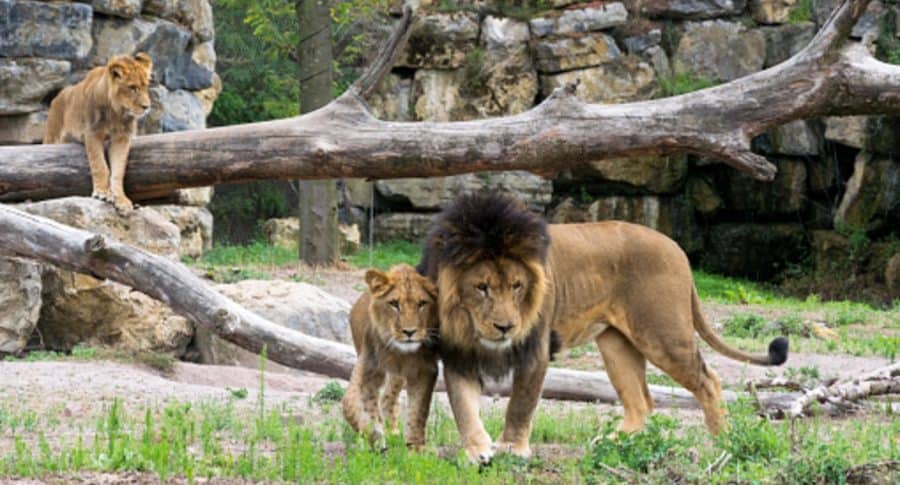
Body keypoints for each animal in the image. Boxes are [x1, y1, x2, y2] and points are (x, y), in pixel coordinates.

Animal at [44, 52, 154, 212]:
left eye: (146, 87)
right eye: (132, 88)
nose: (147, 107)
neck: (117, 113)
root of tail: (56, 98)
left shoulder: (122, 138)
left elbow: (118, 171)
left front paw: (121, 199)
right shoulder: (92, 133)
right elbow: (100, 165)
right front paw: (102, 193)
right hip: (52, 136)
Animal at [342, 264, 442, 450]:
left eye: (422, 304)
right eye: (394, 304)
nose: (409, 332)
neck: (398, 352)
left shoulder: (424, 370)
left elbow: (418, 410)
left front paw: (416, 448)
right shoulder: (368, 369)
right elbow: (355, 405)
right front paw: (374, 437)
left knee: (388, 397)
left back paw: (393, 433)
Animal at [418, 192, 784, 462]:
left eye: (517, 286)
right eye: (482, 287)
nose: (506, 327)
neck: (471, 325)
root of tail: (676, 247)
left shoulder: (536, 349)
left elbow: (520, 405)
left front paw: (512, 449)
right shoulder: (457, 353)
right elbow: (463, 408)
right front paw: (476, 451)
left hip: (662, 335)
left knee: (709, 380)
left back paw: (724, 440)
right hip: (616, 344)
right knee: (641, 404)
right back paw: (614, 444)